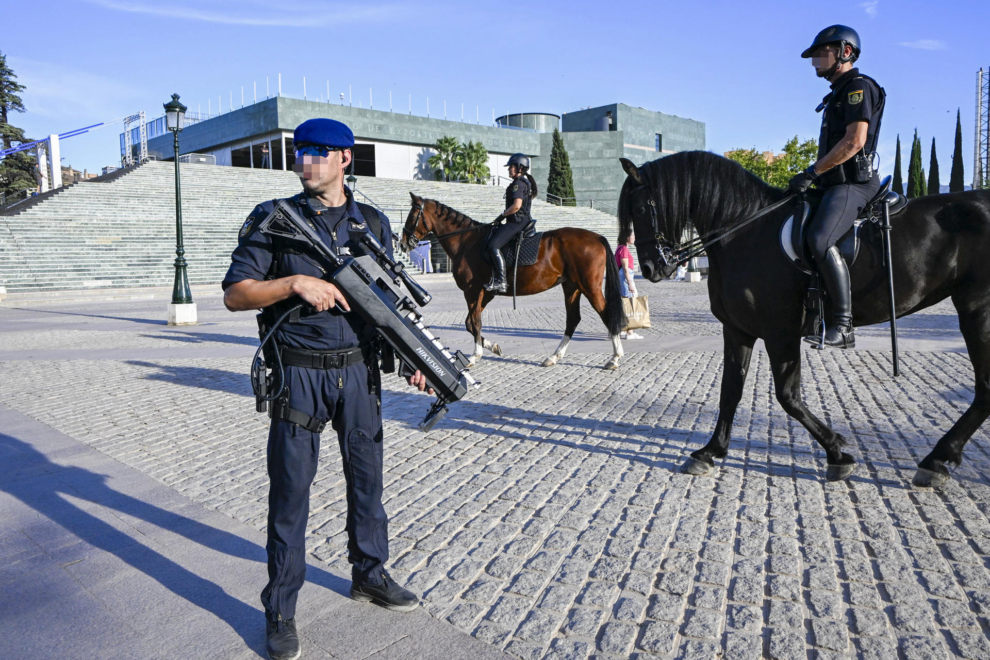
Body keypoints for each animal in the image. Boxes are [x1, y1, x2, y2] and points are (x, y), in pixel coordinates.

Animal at [398, 193, 624, 368]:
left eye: (412, 215)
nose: (402, 243)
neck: (467, 241)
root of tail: (596, 237)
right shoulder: (485, 293)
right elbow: (470, 324)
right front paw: (493, 347)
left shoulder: (472, 291)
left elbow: (475, 322)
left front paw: (476, 355)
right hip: (572, 287)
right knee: (573, 319)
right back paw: (554, 357)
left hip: (589, 287)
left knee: (606, 314)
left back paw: (615, 358)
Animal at [620, 152, 990, 488]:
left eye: (640, 209)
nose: (650, 267)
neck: (745, 232)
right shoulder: (737, 330)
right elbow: (730, 390)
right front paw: (710, 451)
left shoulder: (779, 332)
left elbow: (788, 396)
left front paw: (837, 452)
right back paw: (939, 459)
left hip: (976, 310)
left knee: (984, 390)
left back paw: (936, 459)